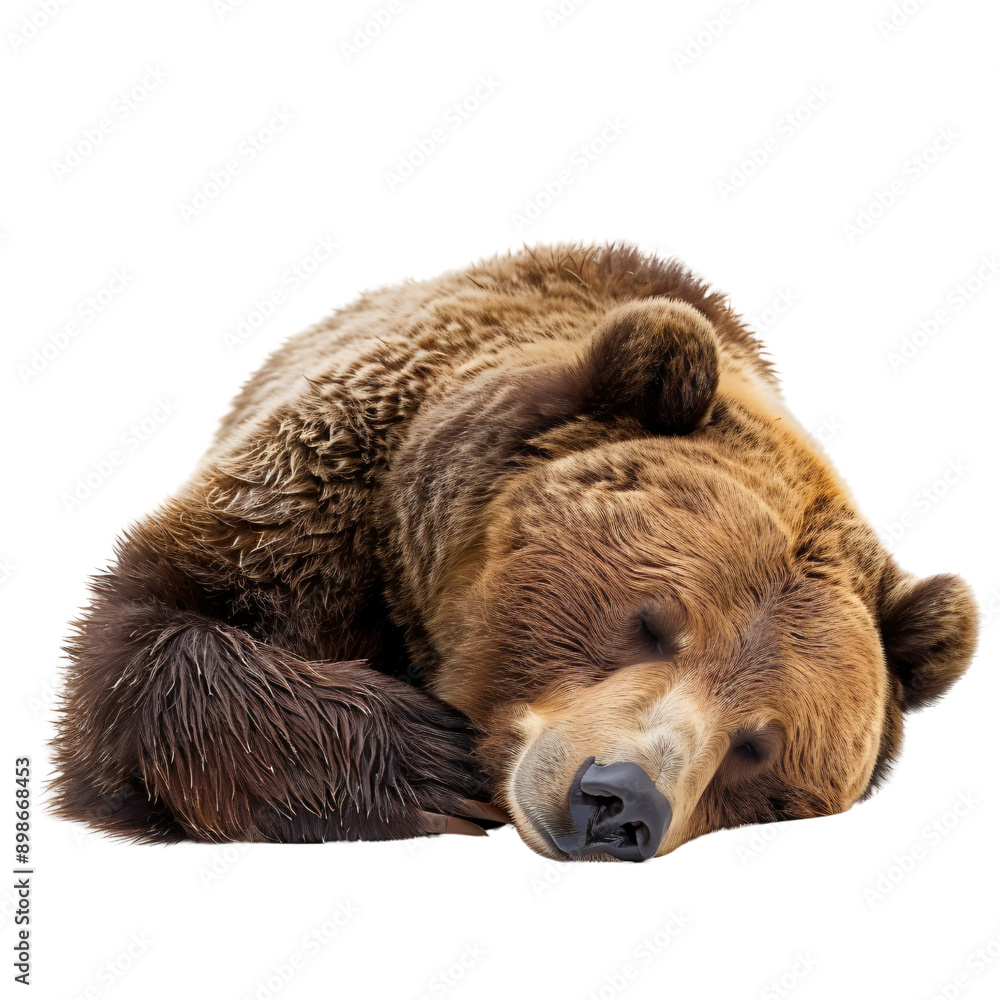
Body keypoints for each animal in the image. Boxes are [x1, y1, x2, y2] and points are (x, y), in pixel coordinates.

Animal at [49, 243, 978, 861]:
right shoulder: (331, 497)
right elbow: (158, 631)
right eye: (652, 621)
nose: (619, 803)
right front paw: (432, 764)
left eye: (759, 744)